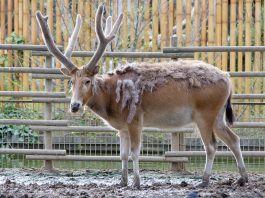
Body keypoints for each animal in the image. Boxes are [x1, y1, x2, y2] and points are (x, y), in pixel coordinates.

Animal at [35, 4, 248, 187]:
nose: (75, 106)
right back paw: (242, 178)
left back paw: (204, 181)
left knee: (211, 146)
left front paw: (136, 183)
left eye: (87, 81)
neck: (111, 103)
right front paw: (122, 181)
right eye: (71, 82)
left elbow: (136, 153)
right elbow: (122, 154)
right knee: (234, 138)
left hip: (205, 113)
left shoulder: (135, 119)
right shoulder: (121, 128)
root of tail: (229, 80)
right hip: (218, 115)